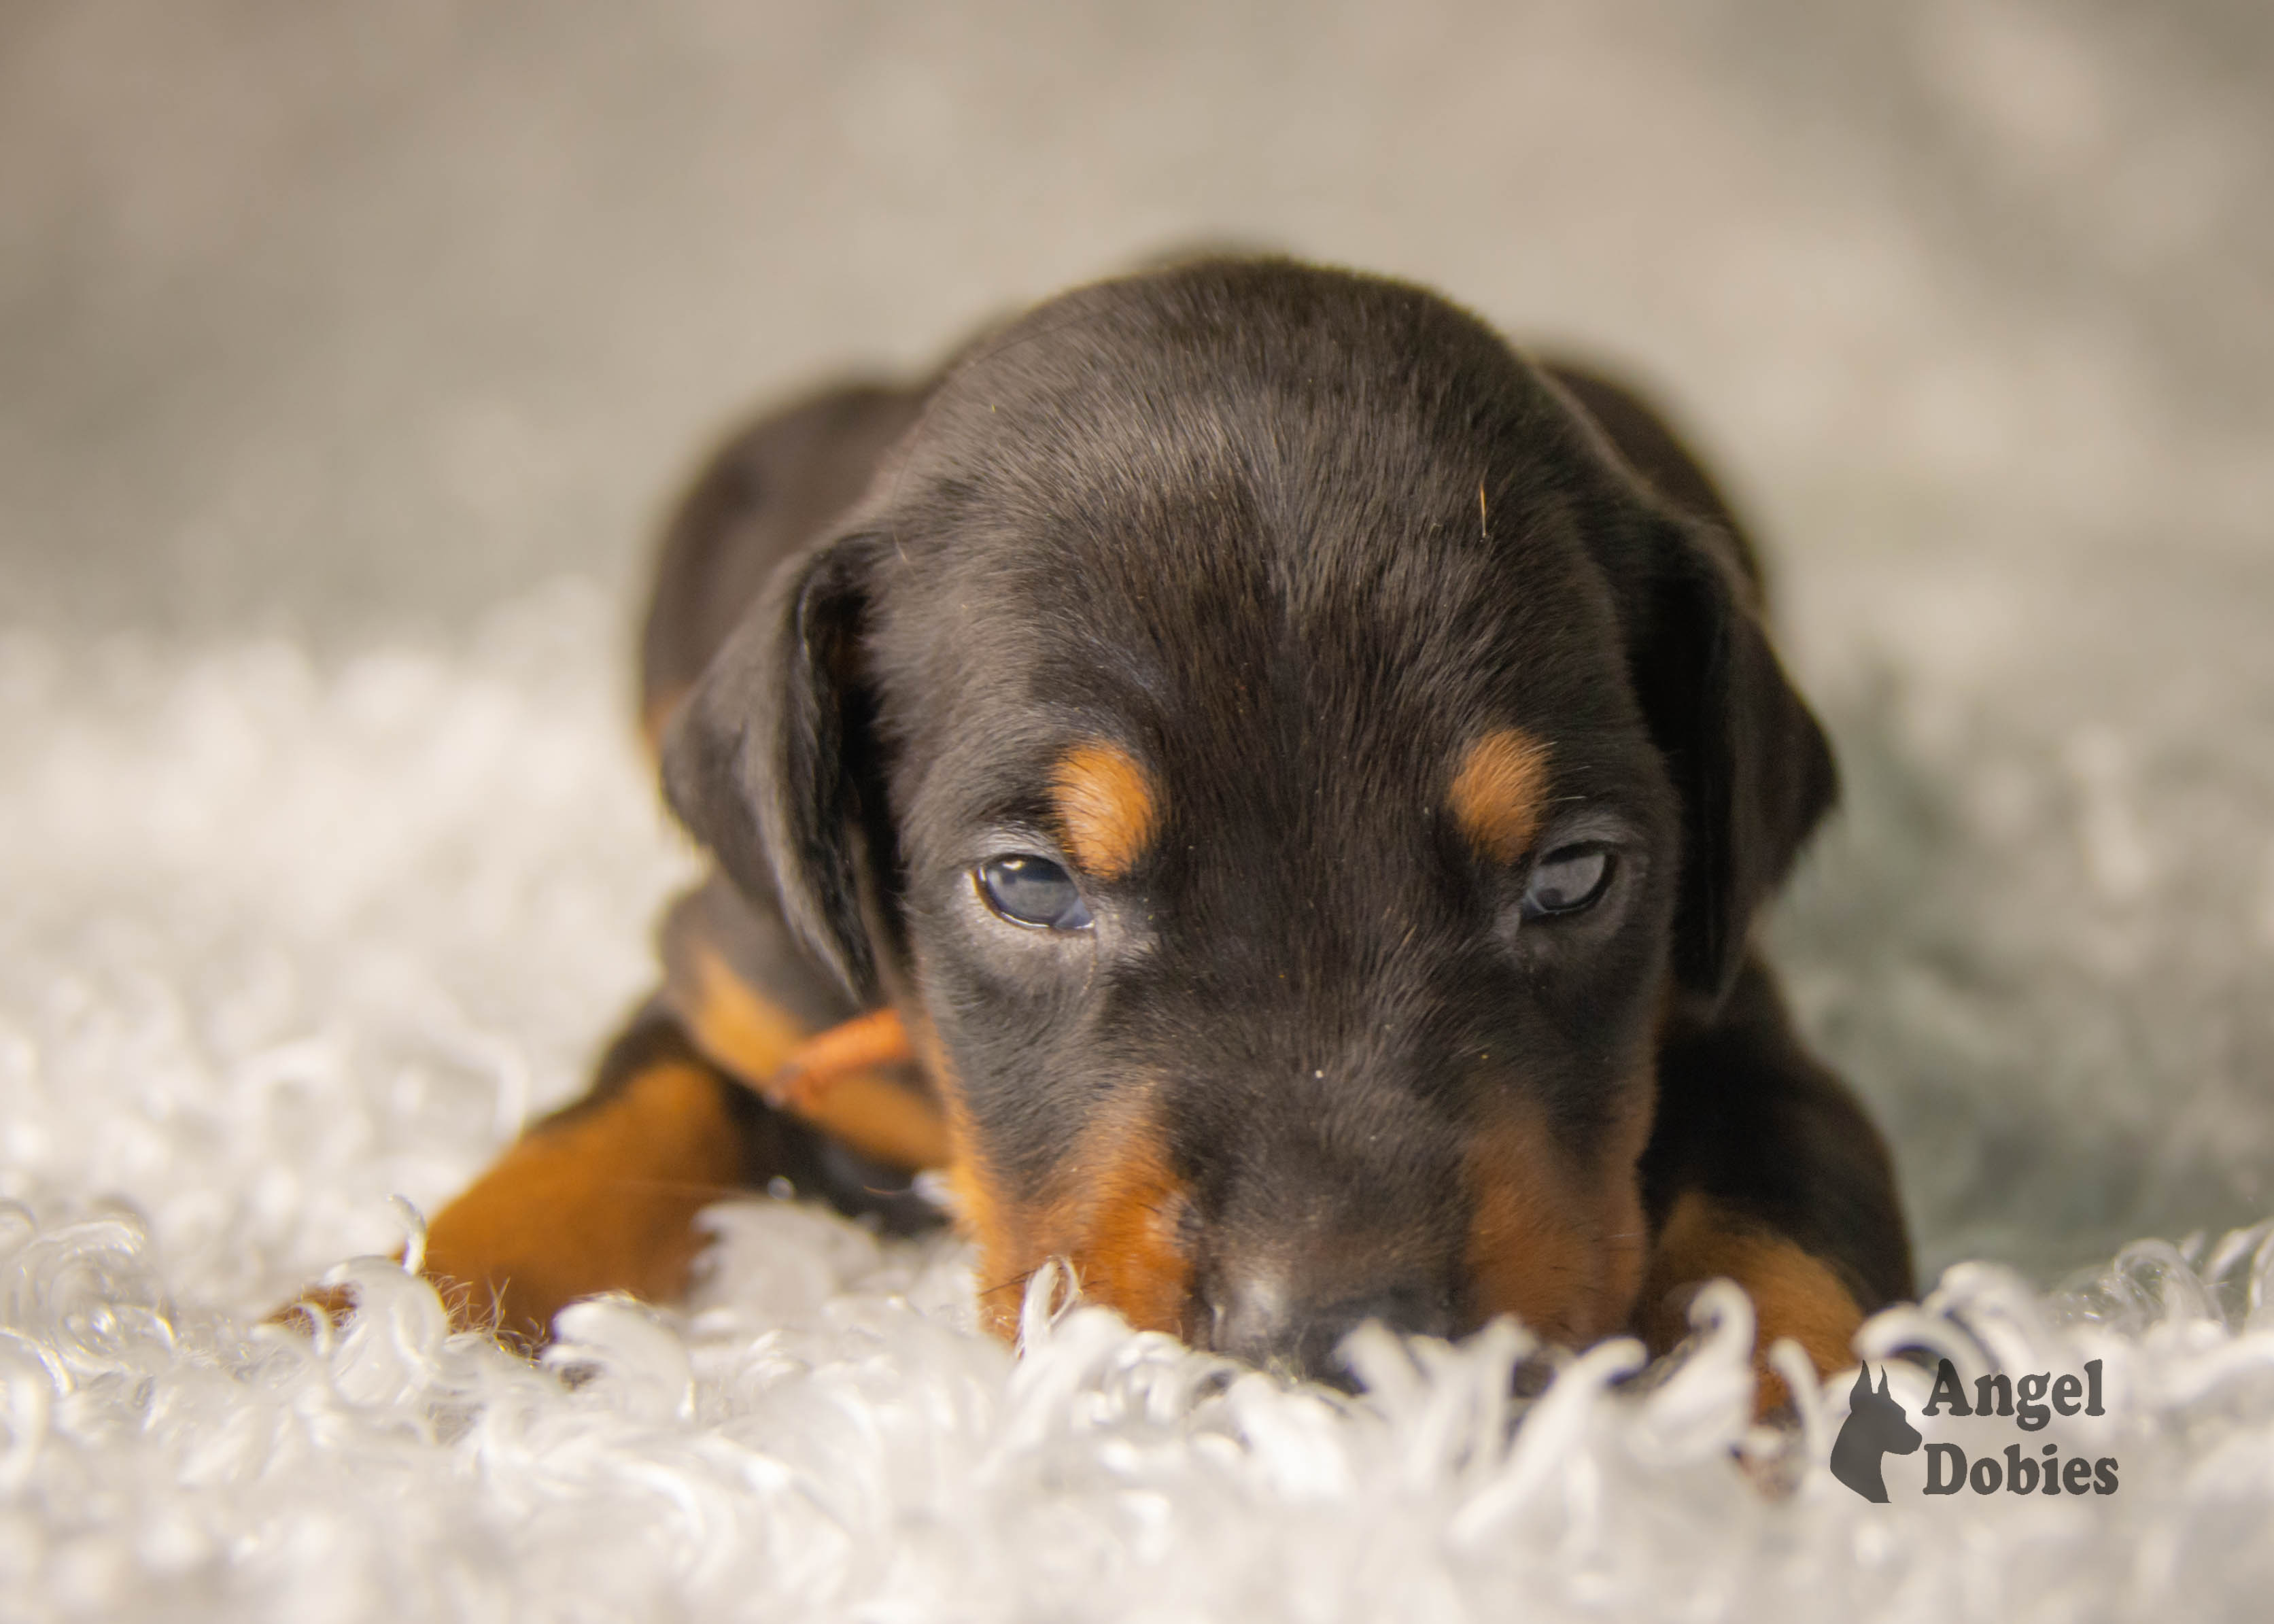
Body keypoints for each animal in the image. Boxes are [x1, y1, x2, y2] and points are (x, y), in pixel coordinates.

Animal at [377, 259, 1919, 1401]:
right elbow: (592, 1133)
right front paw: (366, 1334)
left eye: (1574, 874)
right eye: (1026, 882)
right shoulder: (740, 978)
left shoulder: (1735, 1019)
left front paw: (1727, 1458)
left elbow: (1791, 1257)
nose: (1334, 1338)